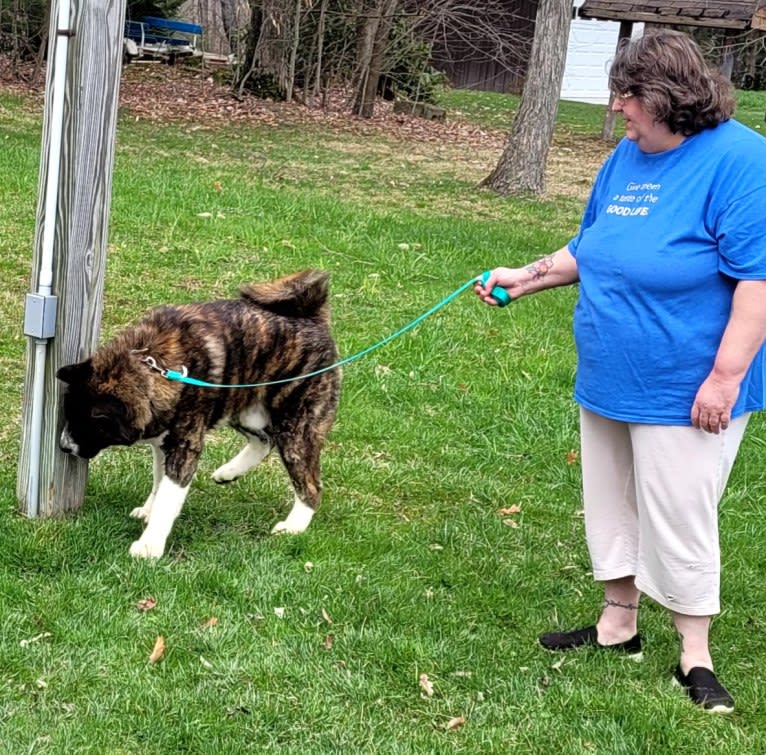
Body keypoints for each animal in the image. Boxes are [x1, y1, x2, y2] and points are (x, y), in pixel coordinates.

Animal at [55, 268, 340, 560]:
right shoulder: (163, 443)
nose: (64, 446)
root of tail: (312, 318)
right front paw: (149, 510)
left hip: (297, 428)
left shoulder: (184, 447)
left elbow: (168, 497)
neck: (155, 364)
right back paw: (229, 472)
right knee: (264, 441)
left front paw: (149, 545)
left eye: (87, 424)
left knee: (310, 485)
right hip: (244, 408)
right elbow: (159, 482)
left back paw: (294, 526)